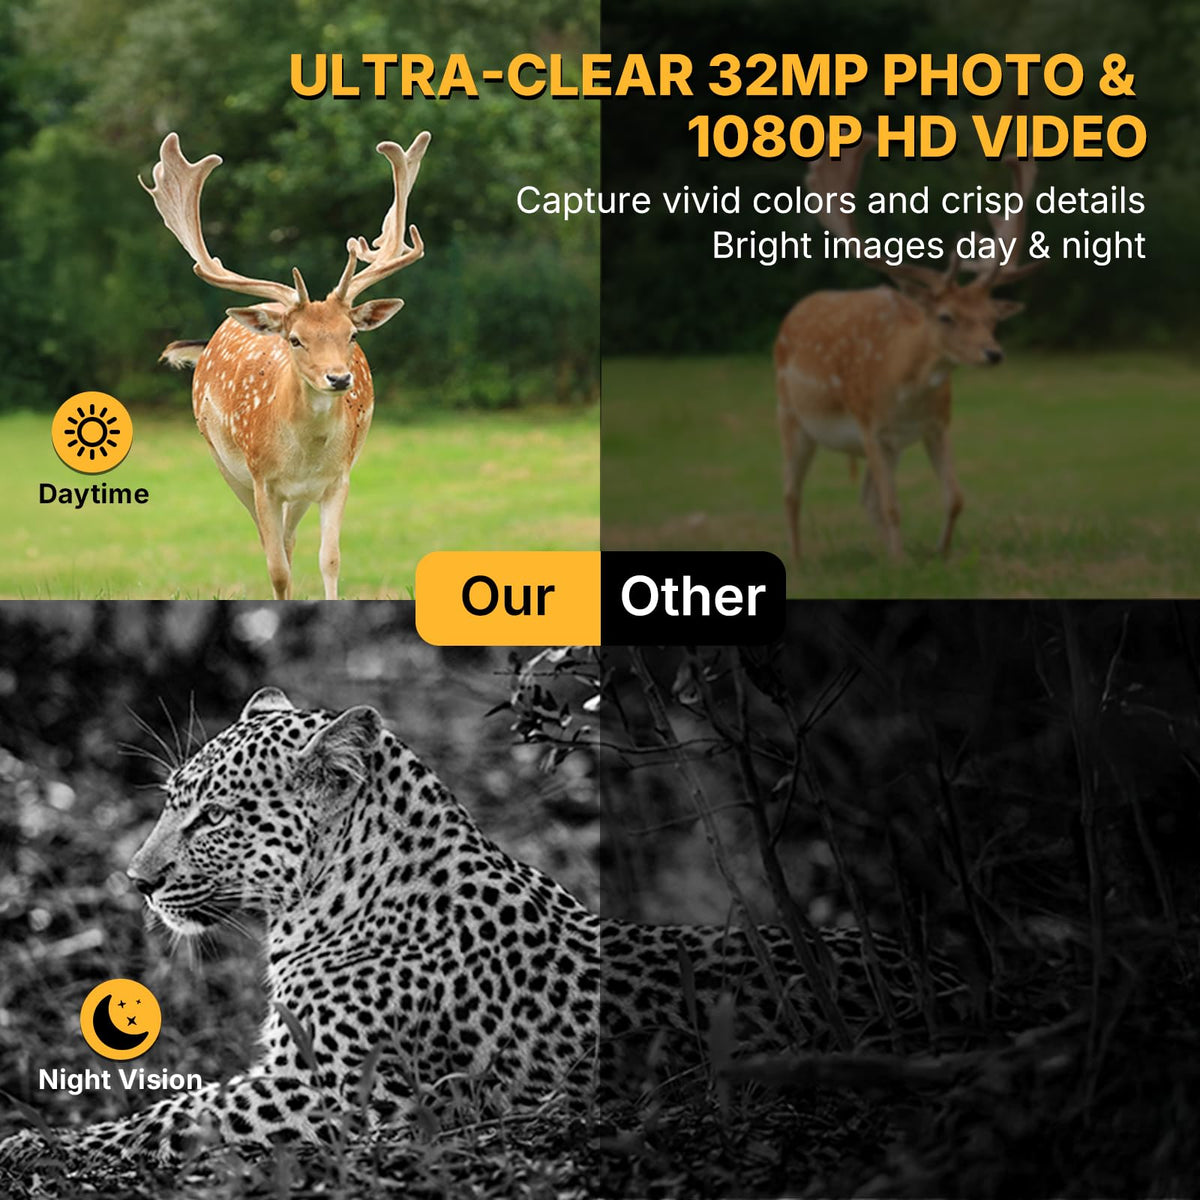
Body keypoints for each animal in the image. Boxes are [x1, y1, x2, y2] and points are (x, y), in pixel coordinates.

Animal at [140, 130, 430, 599]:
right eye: (296, 339)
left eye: (351, 335)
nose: (339, 377)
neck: (303, 456)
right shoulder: (262, 481)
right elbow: (275, 568)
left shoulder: (337, 478)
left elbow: (329, 559)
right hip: (224, 463)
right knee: (270, 543)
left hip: (300, 493)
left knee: (292, 540)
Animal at [775, 134, 1039, 563]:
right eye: (946, 316)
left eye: (991, 318)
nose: (993, 353)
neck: (902, 385)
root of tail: (797, 309)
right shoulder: (868, 425)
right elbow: (892, 505)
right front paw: (901, 564)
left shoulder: (936, 426)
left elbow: (954, 498)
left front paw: (935, 554)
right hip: (790, 415)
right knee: (790, 493)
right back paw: (799, 562)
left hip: (888, 446)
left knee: (864, 497)